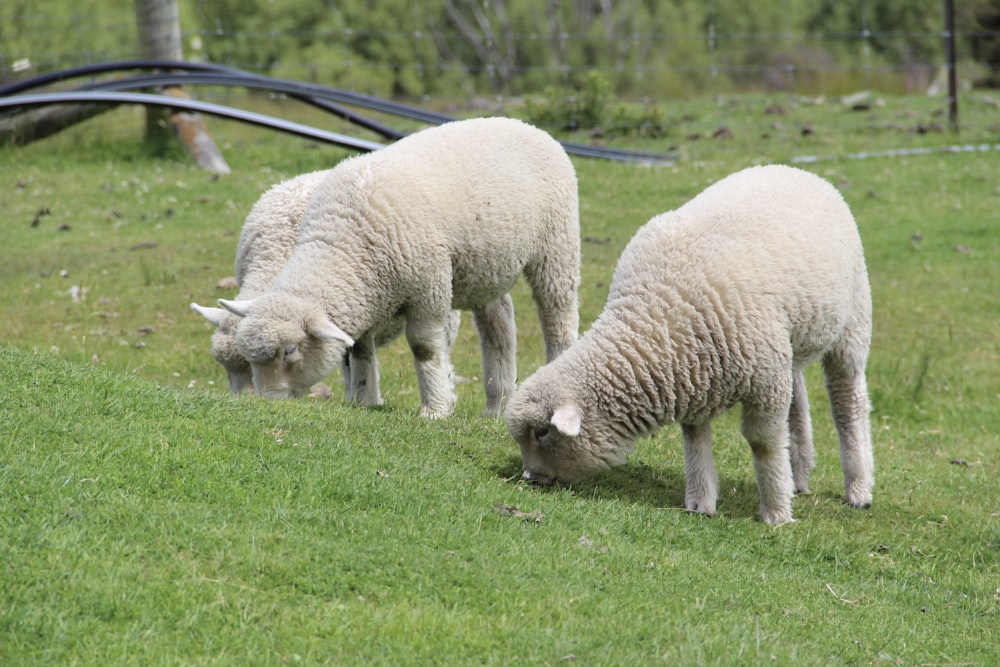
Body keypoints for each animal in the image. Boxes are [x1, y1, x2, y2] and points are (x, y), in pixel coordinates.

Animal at [219, 115, 580, 418]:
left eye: (289, 351)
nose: (268, 402)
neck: (345, 242)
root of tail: (522, 123)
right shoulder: (363, 299)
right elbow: (359, 352)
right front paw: (362, 400)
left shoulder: (428, 287)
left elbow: (425, 349)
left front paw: (435, 410)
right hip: (487, 266)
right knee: (499, 326)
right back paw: (496, 406)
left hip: (557, 245)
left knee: (558, 317)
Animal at [504, 164, 872, 524]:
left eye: (542, 433)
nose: (530, 478)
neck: (657, 318)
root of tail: (799, 171)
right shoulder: (695, 375)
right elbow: (695, 439)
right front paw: (700, 502)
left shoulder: (761, 381)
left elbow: (763, 443)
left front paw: (777, 513)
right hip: (788, 344)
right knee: (798, 400)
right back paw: (800, 475)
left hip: (852, 323)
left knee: (848, 404)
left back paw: (858, 488)